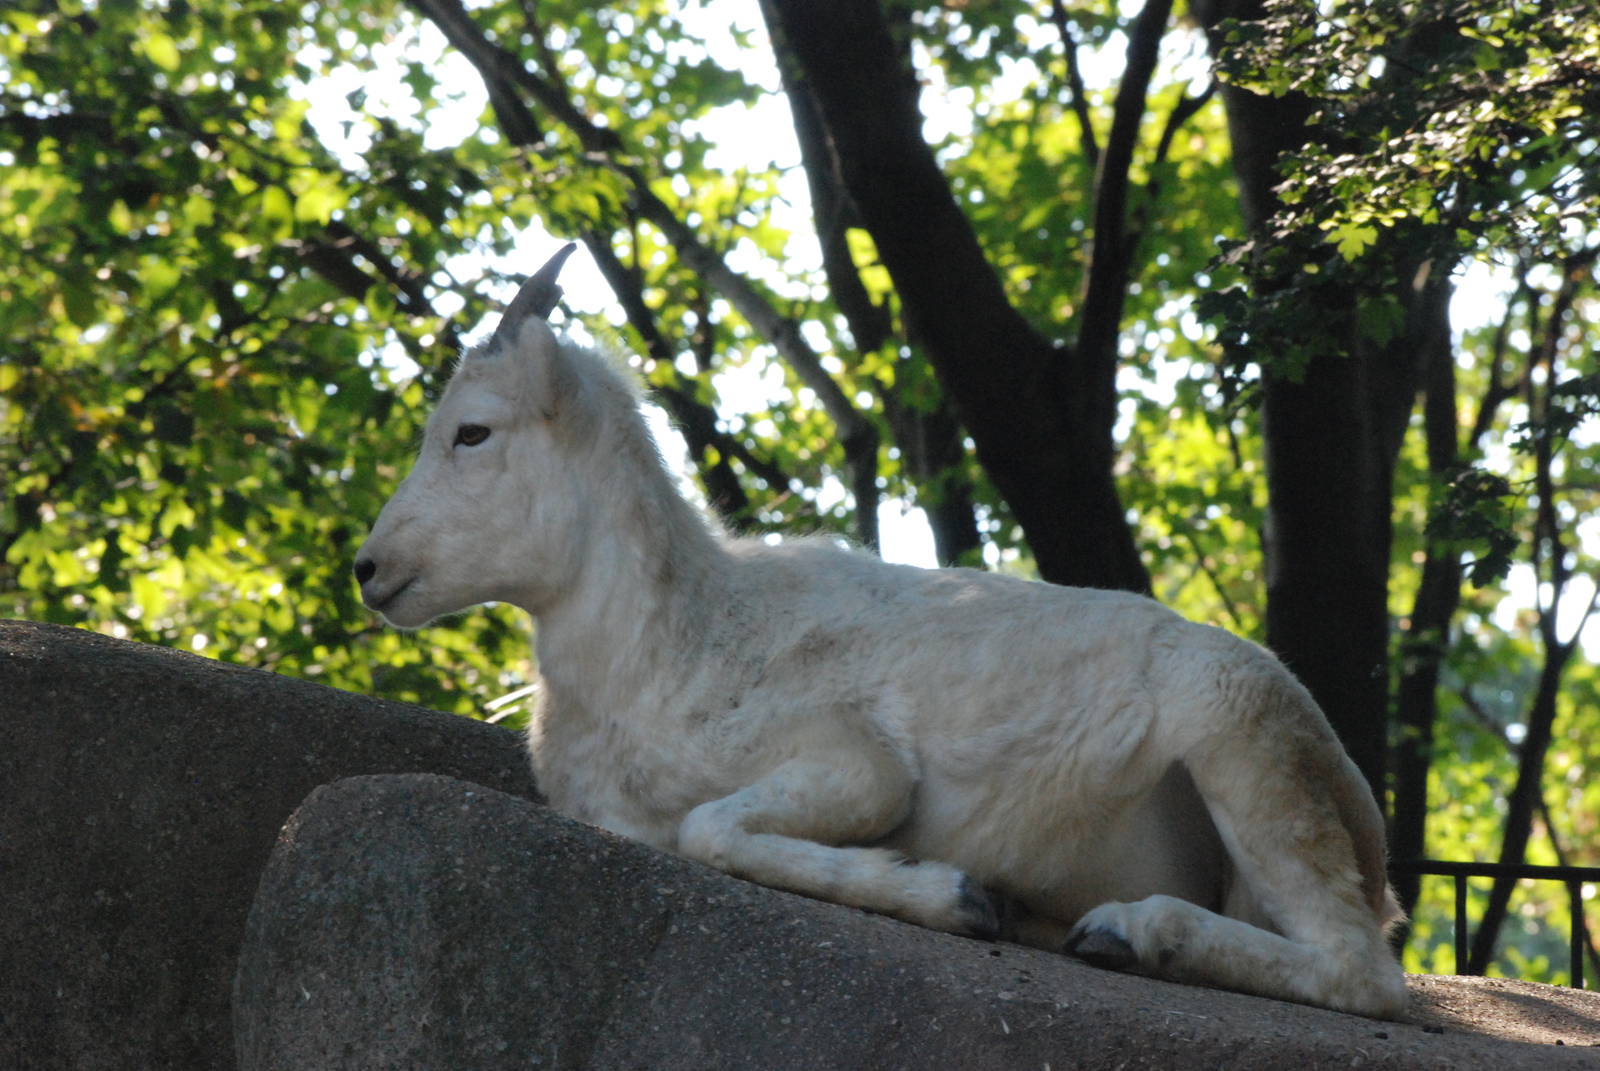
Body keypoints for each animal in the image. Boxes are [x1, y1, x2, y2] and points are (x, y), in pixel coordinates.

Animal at [353, 246, 1409, 1020]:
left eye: (473, 431)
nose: (369, 568)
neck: (669, 649)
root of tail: (1360, 807)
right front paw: (985, 900)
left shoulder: (856, 764)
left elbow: (709, 827)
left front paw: (961, 896)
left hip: (1244, 749)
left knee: (1364, 972)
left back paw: (1122, 931)